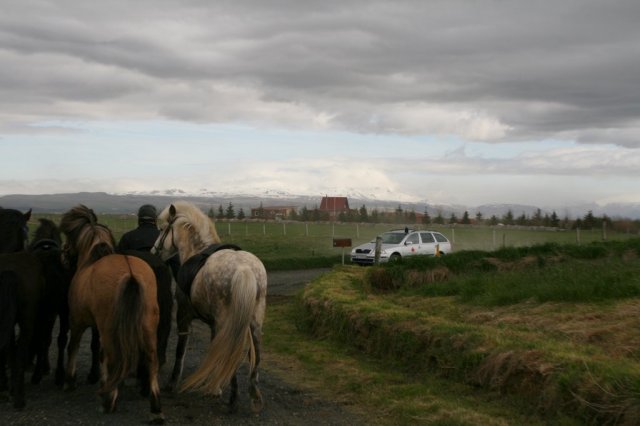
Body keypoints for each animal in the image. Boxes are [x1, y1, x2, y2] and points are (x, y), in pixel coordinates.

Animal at [60, 204, 164, 422]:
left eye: (69, 236)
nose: (63, 256)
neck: (90, 260)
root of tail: (131, 274)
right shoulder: (97, 327)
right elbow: (98, 353)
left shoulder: (77, 321)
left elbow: (73, 347)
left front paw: (69, 381)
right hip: (148, 328)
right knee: (151, 361)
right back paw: (156, 408)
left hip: (110, 329)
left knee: (115, 356)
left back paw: (109, 401)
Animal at [151, 201, 268, 414]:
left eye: (163, 229)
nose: (154, 252)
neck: (196, 250)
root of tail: (244, 269)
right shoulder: (214, 324)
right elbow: (216, 349)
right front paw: (215, 387)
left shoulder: (184, 317)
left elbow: (181, 351)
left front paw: (172, 384)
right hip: (254, 323)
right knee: (254, 357)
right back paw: (253, 397)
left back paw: (234, 400)